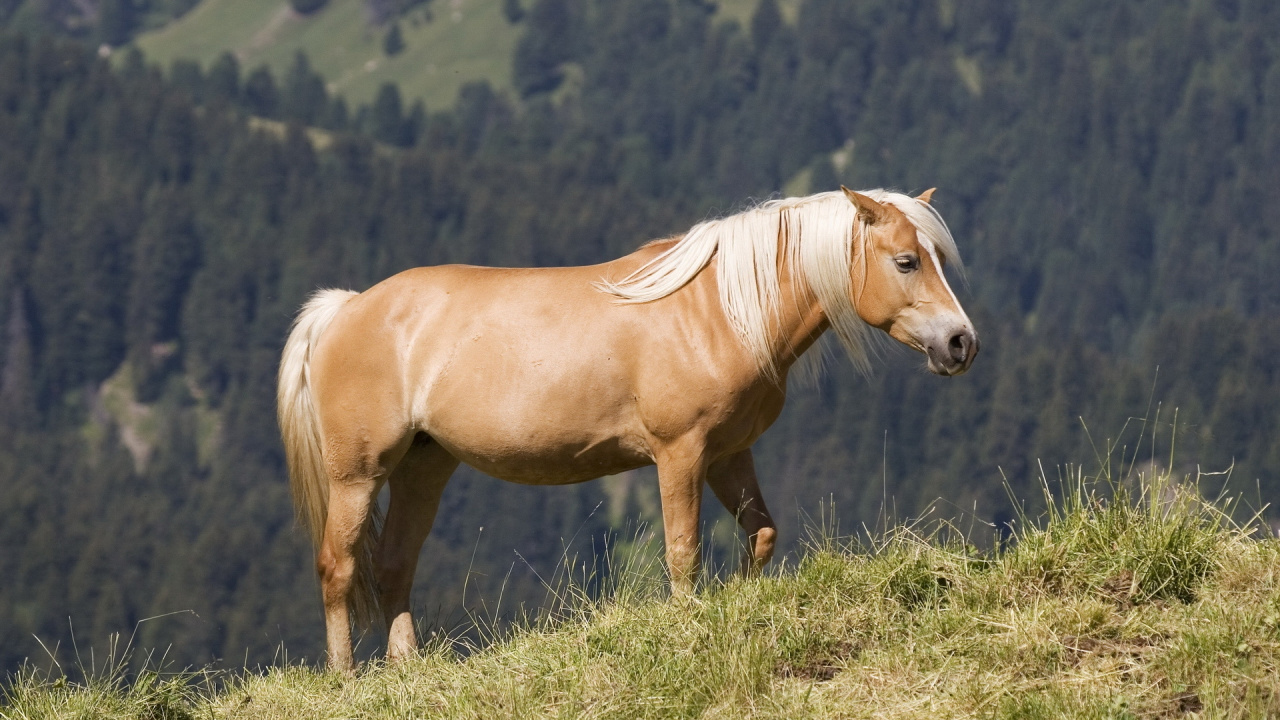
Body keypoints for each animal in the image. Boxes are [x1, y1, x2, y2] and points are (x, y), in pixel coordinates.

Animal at [277, 187, 978, 671]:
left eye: (938, 258)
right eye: (907, 261)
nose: (960, 343)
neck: (720, 309)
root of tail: (347, 308)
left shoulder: (730, 455)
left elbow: (762, 535)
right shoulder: (680, 453)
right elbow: (683, 551)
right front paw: (690, 628)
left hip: (425, 465)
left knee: (395, 565)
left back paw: (409, 671)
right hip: (357, 473)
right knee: (338, 566)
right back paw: (344, 678)